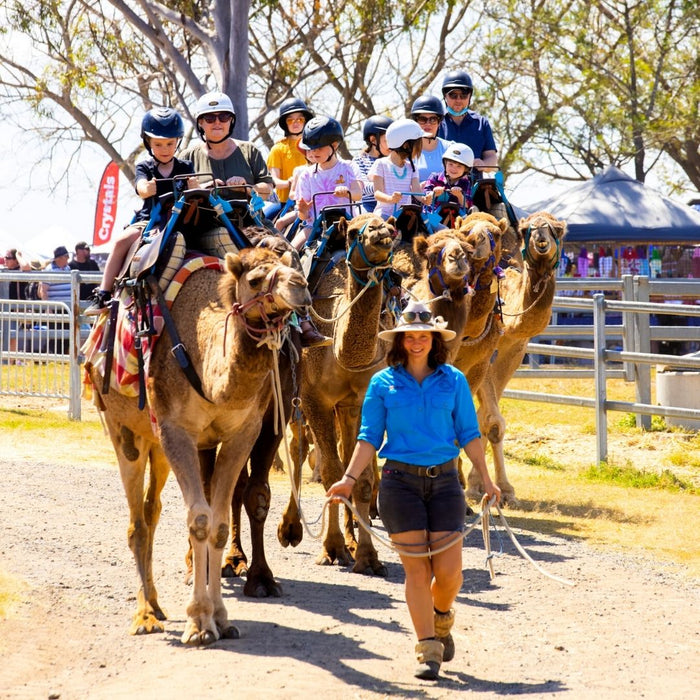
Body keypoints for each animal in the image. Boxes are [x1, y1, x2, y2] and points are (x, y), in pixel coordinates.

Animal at [146, 247, 310, 644]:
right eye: (255, 279)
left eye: (291, 266)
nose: (301, 286)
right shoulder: (178, 429)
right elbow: (205, 507)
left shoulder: (262, 424)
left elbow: (254, 496)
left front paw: (261, 579)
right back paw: (199, 566)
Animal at [278, 212, 400, 576]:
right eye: (355, 231)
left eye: (390, 226)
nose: (381, 232)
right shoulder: (313, 399)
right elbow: (331, 472)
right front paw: (331, 548)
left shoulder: (361, 401)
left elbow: (359, 475)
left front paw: (367, 556)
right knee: (296, 447)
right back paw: (291, 528)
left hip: (344, 409)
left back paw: (351, 539)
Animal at [468, 211, 568, 506]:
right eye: (526, 229)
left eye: (557, 229)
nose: (541, 239)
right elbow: (490, 419)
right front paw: (482, 488)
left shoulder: (515, 348)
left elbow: (485, 419)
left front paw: (490, 488)